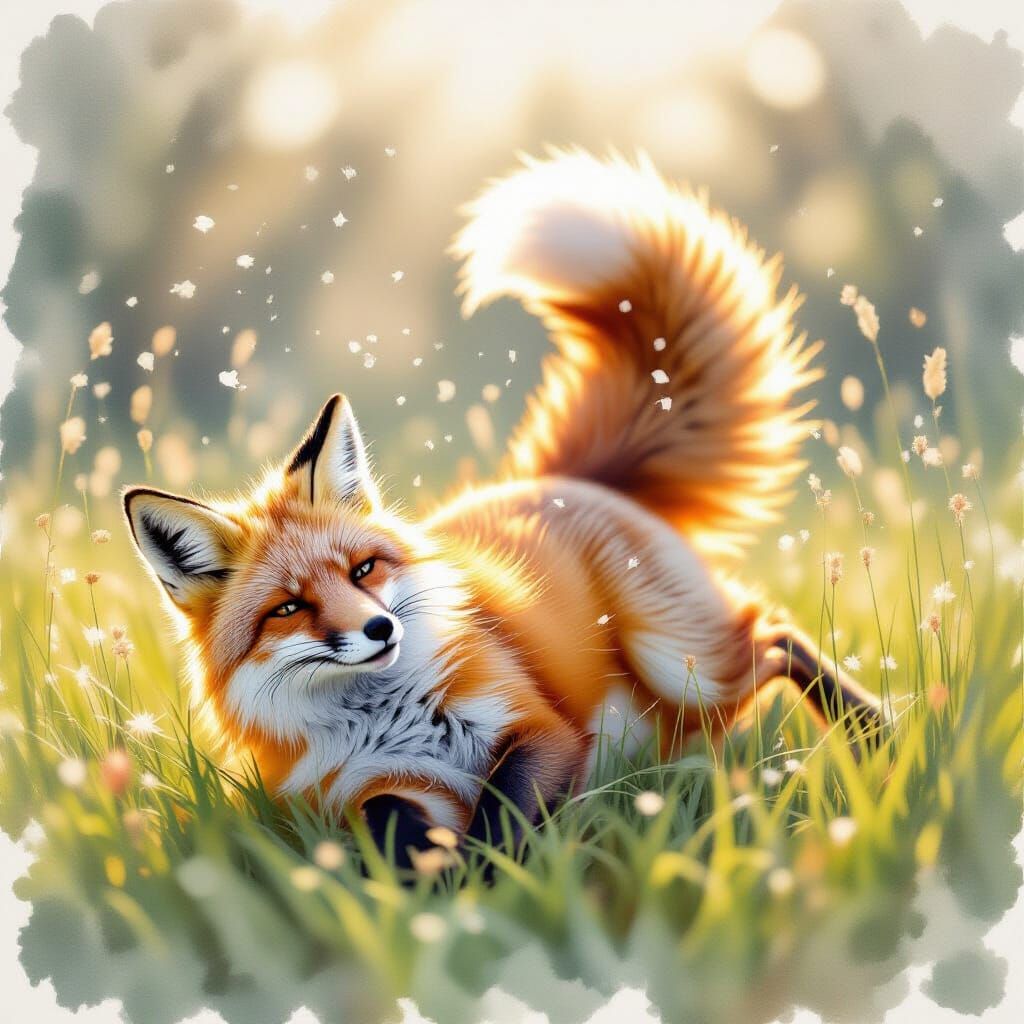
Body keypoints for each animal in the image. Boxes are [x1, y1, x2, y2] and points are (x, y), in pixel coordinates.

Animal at [124, 150, 883, 866]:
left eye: (364, 570)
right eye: (288, 607)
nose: (377, 629)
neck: (382, 720)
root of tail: (555, 478)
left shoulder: (538, 728)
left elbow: (503, 821)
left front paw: (488, 886)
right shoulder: (373, 787)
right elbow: (392, 824)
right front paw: (424, 883)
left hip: (683, 661)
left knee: (777, 637)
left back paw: (878, 732)